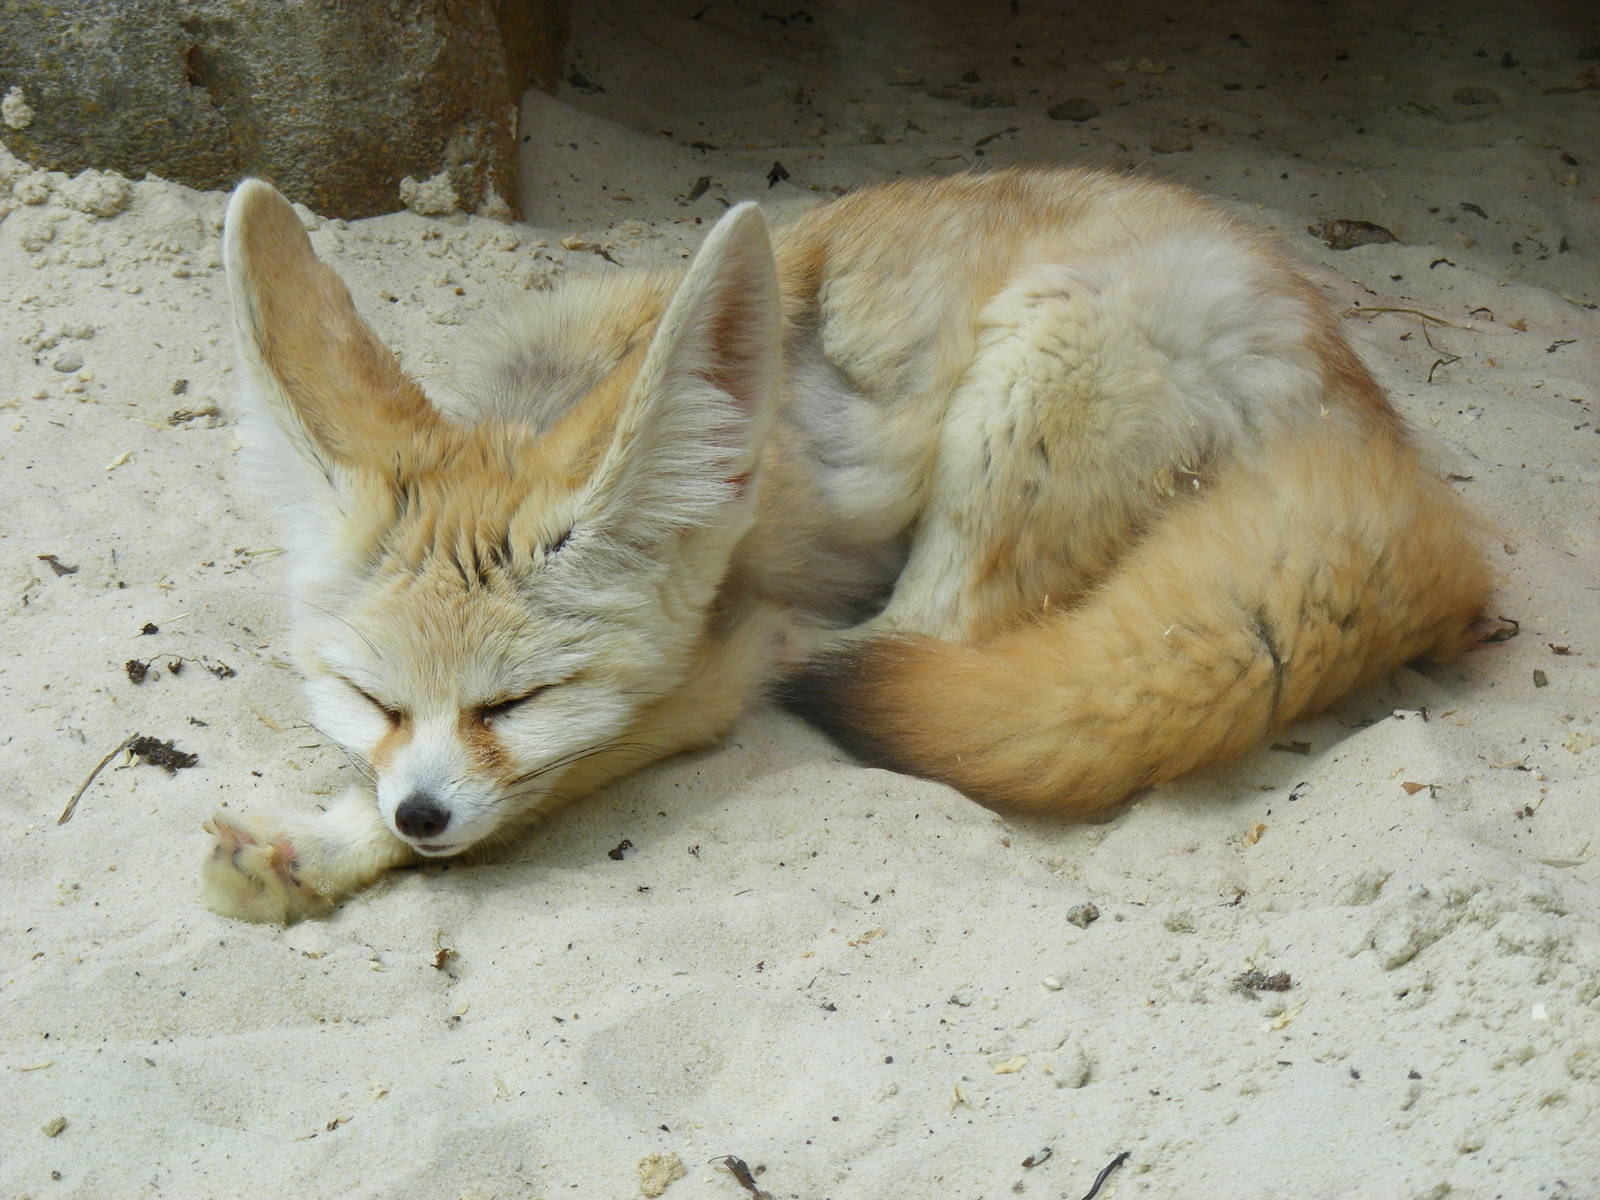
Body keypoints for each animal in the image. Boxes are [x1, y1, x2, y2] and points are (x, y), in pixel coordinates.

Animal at [202, 167, 1490, 923]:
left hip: (1031, 373)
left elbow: (567, 767)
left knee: (923, 643)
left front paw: (323, 847)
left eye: (518, 702)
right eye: (370, 699)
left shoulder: (713, 656)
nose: (420, 815)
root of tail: (1369, 426)